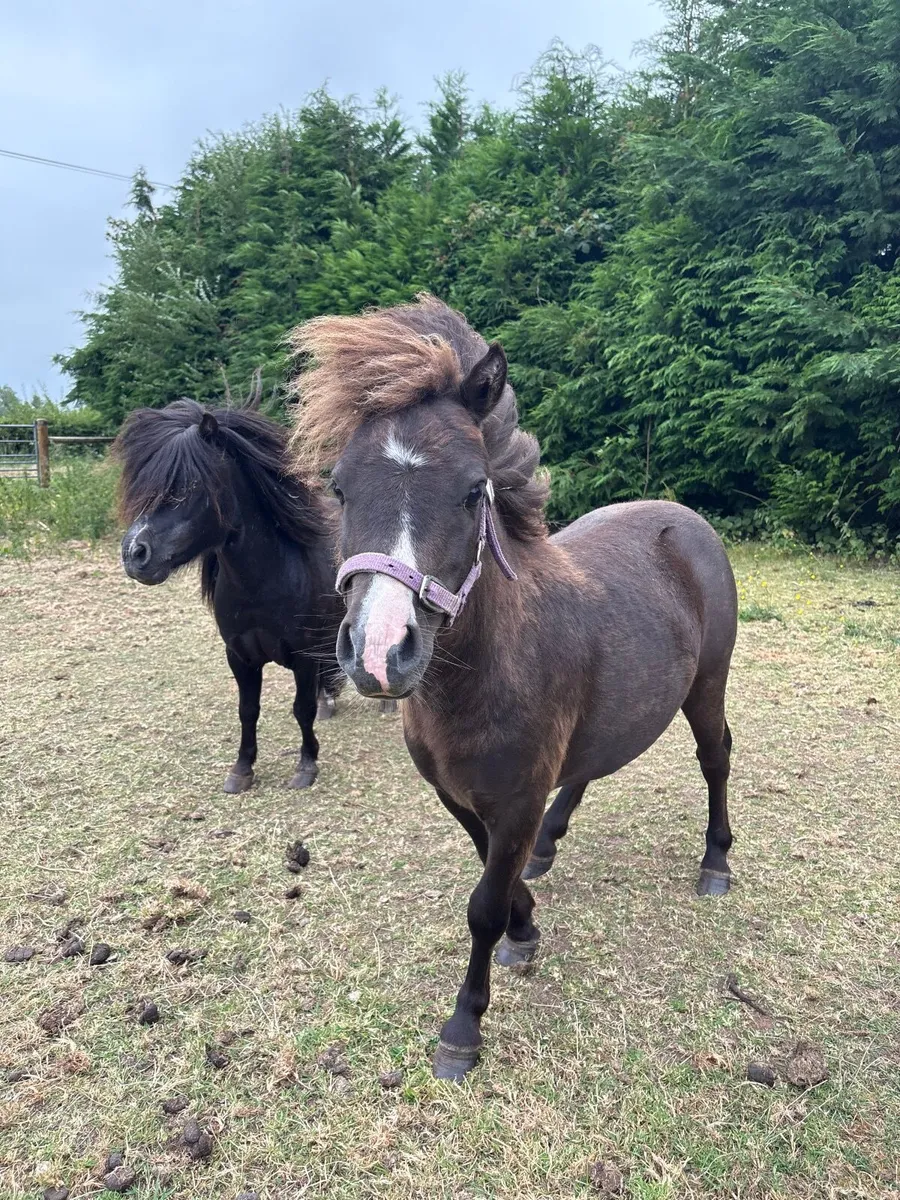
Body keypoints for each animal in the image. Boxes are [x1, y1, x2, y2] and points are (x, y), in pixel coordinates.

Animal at [114, 398, 345, 793]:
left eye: (189, 484)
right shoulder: (239, 656)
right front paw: (242, 769)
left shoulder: (301, 656)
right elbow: (247, 710)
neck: (266, 582)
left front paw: (306, 765)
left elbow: (302, 709)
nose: (134, 554)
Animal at [288, 294, 739, 1081]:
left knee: (715, 758)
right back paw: (551, 846)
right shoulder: (462, 794)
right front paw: (526, 928)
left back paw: (715, 862)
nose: (378, 653)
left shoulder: (518, 795)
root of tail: (686, 520)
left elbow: (482, 906)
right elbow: (491, 875)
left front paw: (464, 1027)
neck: (482, 676)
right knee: (590, 765)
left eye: (475, 491)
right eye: (340, 488)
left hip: (706, 688)